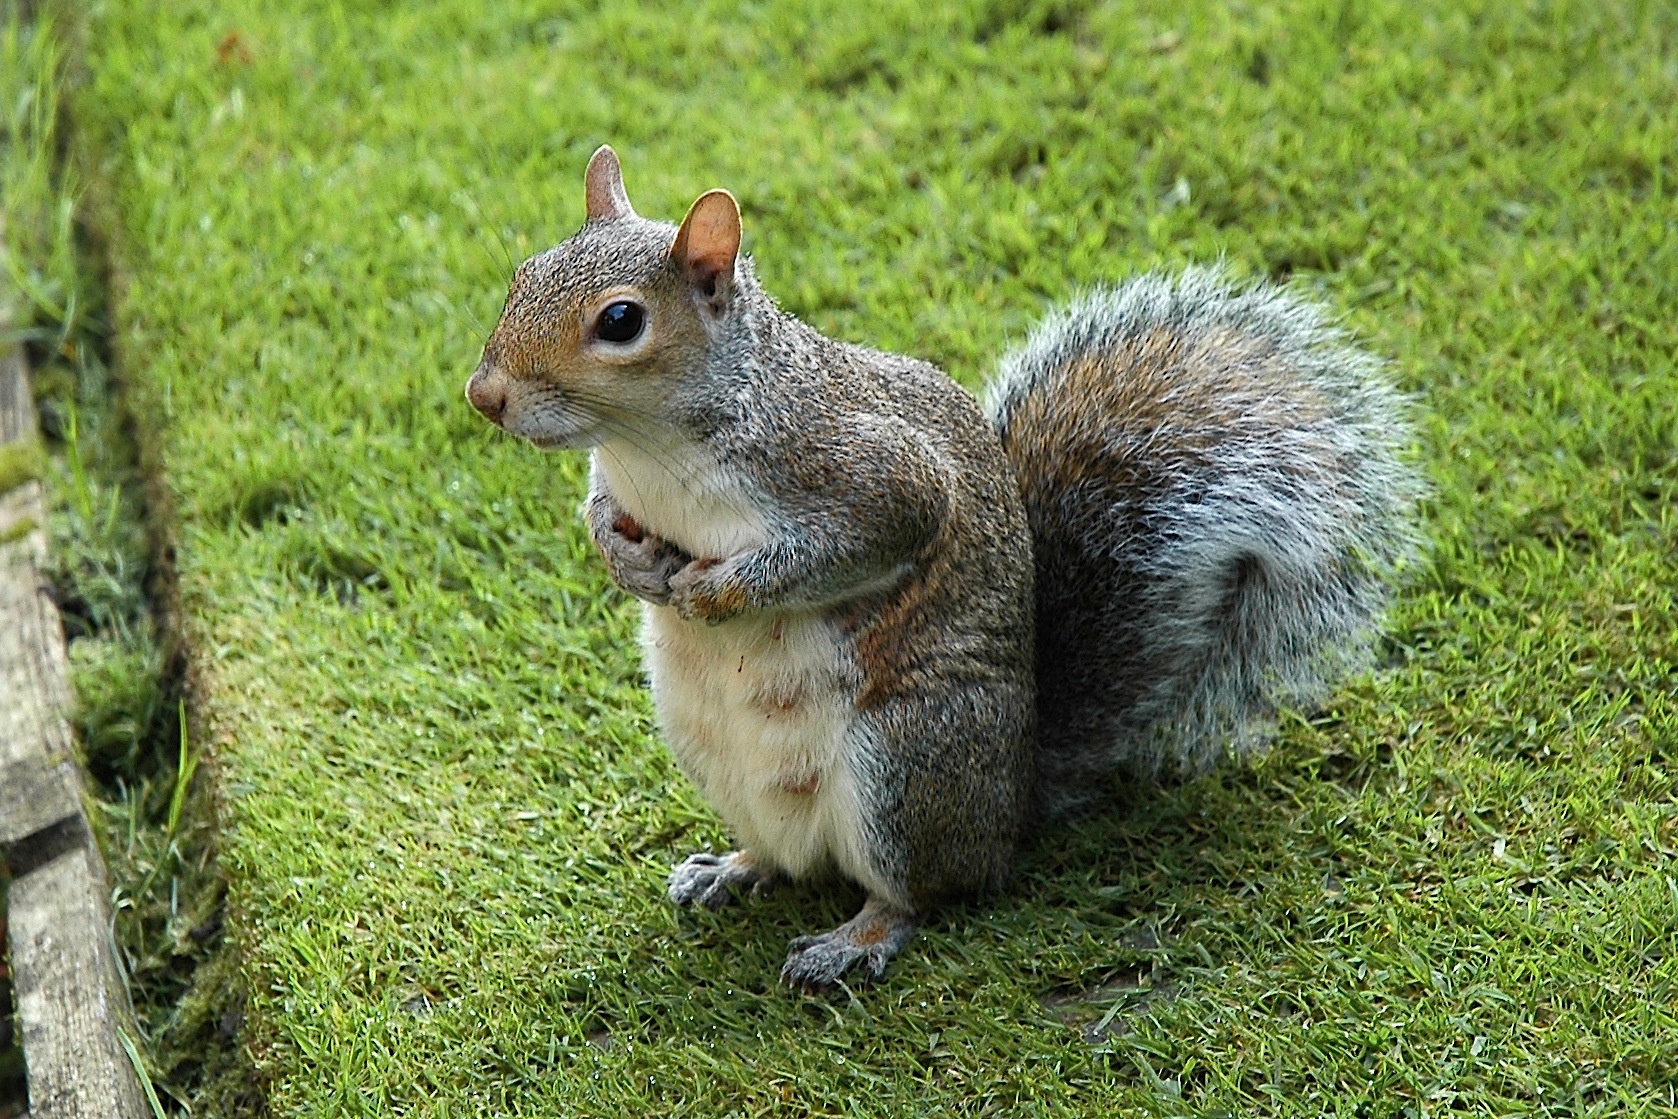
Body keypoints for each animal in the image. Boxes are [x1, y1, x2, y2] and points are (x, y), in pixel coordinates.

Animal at [464, 146, 1422, 990]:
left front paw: (720, 588)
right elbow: (600, 509)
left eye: (620, 322)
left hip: (907, 759)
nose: (485, 395)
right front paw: (622, 555)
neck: (650, 449)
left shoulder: (870, 473)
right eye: (523, 272)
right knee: (786, 857)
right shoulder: (623, 479)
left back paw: (853, 940)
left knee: (919, 890)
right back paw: (731, 866)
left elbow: (866, 535)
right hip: (712, 751)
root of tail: (1010, 805)